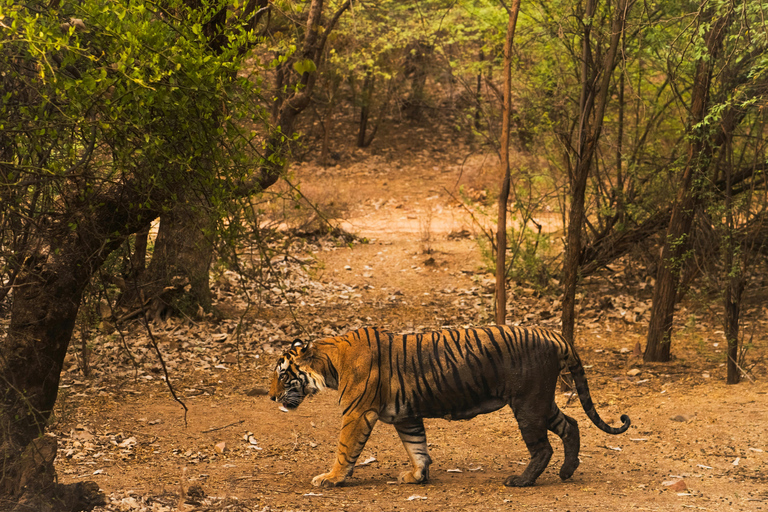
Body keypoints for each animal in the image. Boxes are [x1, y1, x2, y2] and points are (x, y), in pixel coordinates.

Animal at [268, 325, 630, 488]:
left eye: (283, 375)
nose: (271, 397)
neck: (330, 362)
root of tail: (554, 333)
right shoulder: (406, 415)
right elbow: (417, 446)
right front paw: (417, 475)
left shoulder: (356, 413)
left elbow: (345, 449)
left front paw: (331, 478)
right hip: (541, 401)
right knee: (571, 425)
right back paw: (568, 471)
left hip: (528, 404)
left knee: (543, 447)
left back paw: (521, 481)